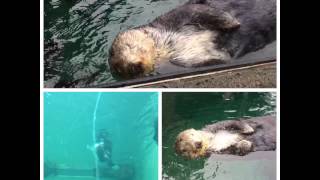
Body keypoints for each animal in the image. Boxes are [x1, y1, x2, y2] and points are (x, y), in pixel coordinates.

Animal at [109, 0, 276, 78]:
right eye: (119, 69)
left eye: (130, 46)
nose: (134, 67)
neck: (168, 48)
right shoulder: (184, 62)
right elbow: (216, 60)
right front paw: (224, 56)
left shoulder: (177, 17)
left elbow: (205, 12)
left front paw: (233, 22)